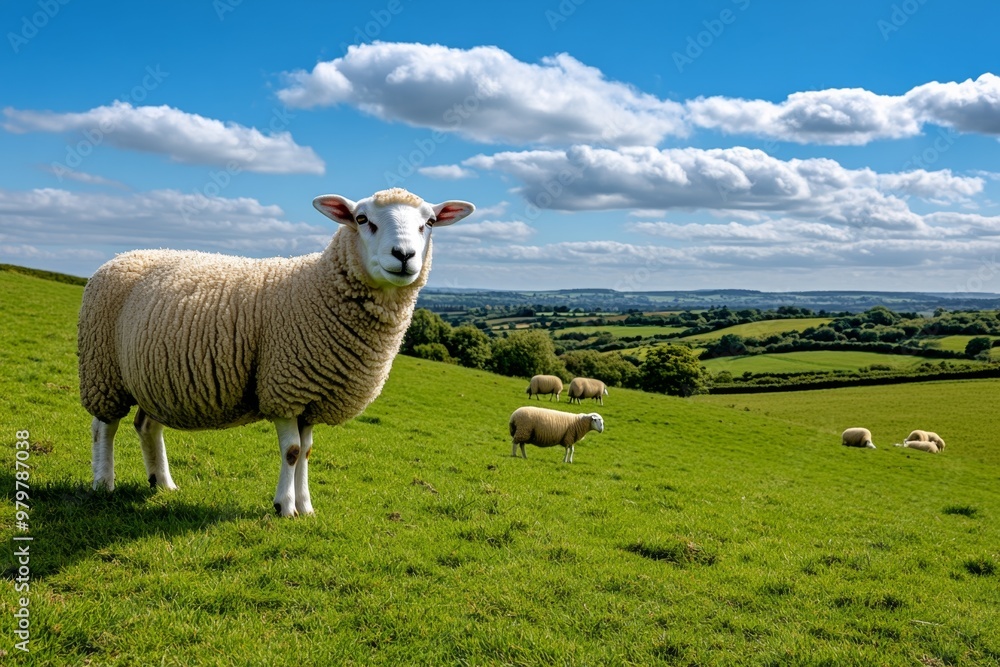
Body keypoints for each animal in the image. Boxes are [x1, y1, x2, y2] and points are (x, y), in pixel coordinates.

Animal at [78, 187, 474, 517]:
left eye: (430, 222)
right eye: (362, 219)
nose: (404, 255)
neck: (318, 286)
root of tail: (123, 255)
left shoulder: (313, 394)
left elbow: (307, 451)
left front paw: (306, 507)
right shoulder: (284, 385)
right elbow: (292, 451)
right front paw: (284, 506)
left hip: (153, 376)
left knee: (146, 426)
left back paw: (162, 483)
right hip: (102, 369)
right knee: (104, 427)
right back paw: (103, 481)